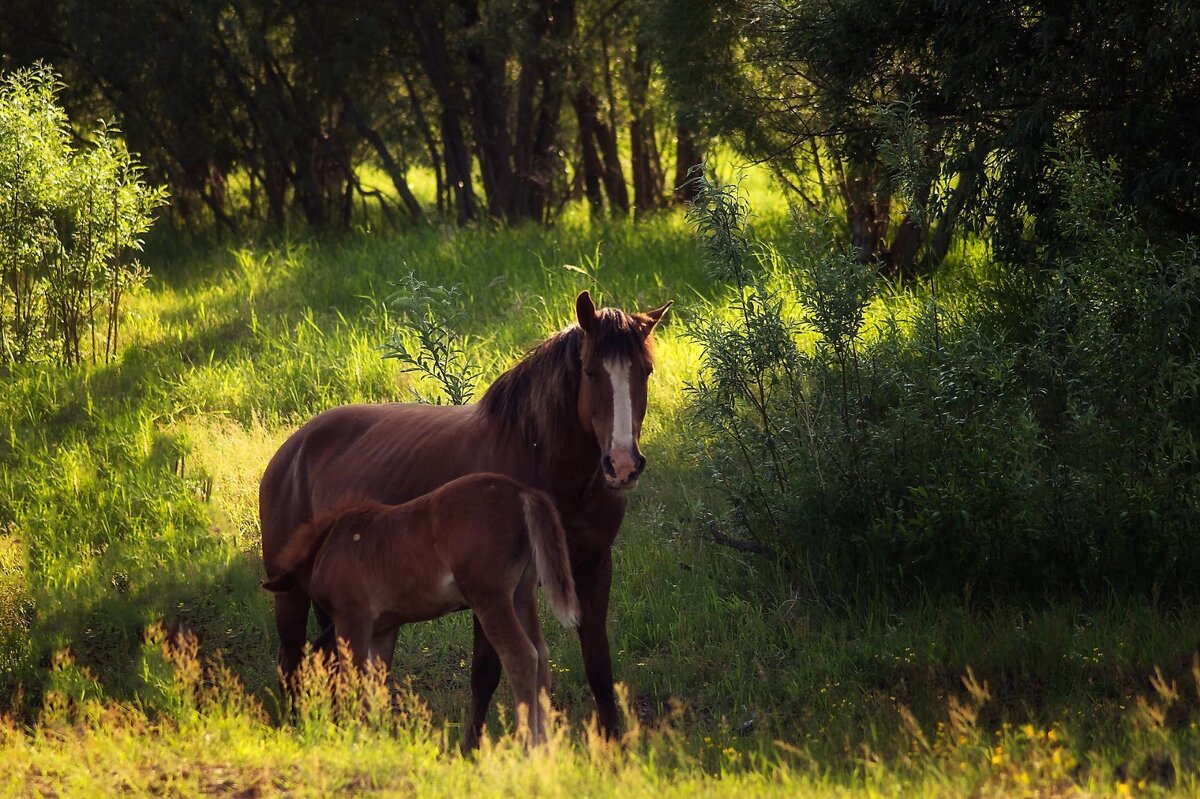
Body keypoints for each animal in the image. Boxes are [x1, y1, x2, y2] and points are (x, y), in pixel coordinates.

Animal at [264, 472, 580, 739]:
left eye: (301, 680)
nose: (298, 721)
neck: (326, 546)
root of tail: (521, 492)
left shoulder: (352, 619)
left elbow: (353, 677)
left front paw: (356, 733)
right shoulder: (384, 628)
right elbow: (377, 683)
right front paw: (378, 735)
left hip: (490, 597)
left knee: (522, 656)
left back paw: (528, 746)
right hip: (523, 594)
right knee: (541, 654)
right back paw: (548, 747)